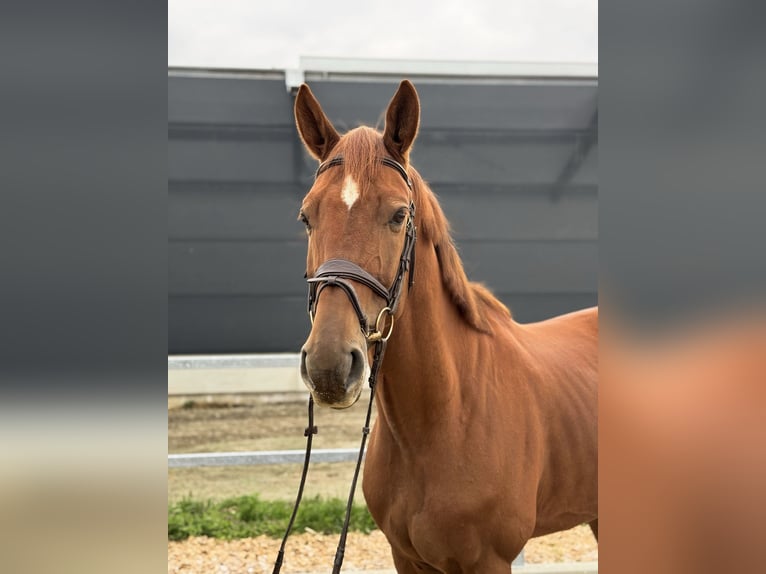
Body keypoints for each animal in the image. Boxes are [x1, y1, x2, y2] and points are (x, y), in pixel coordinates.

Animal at [296, 81, 600, 574]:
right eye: (307, 217)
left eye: (399, 215)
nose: (329, 367)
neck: (445, 415)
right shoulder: (406, 558)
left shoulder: (489, 561)